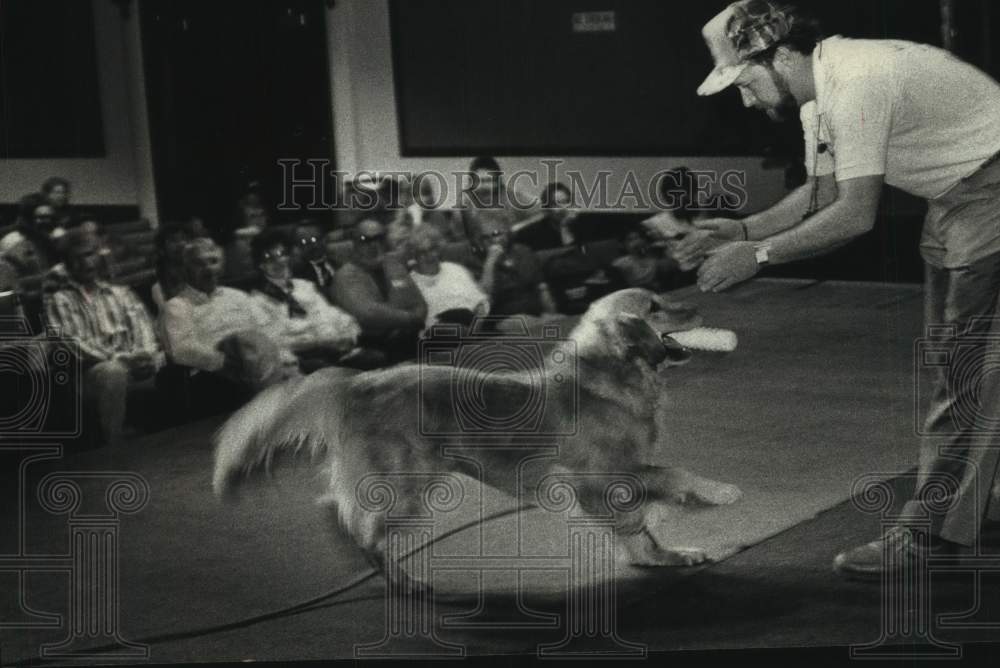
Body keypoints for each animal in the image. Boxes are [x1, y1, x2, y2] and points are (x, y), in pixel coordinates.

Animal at [213, 288, 744, 568]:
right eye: (655, 307)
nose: (699, 301)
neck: (610, 376)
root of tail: (359, 380)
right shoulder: (599, 479)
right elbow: (671, 476)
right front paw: (720, 492)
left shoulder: (616, 481)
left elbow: (643, 523)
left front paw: (667, 555)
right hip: (402, 484)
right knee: (355, 522)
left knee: (340, 510)